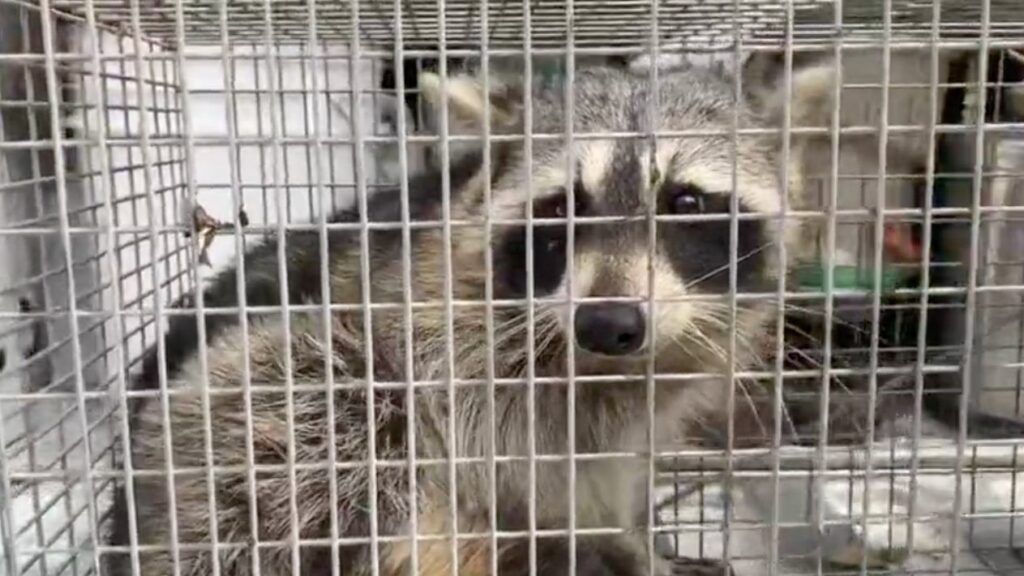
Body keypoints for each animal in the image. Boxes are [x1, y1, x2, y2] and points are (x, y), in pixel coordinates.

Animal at [105, 59, 835, 576]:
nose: (608, 322)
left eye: (686, 202)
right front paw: (573, 544)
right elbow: (488, 469)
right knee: (330, 405)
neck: (602, 369)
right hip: (211, 421)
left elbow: (612, 474)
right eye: (559, 211)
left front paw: (633, 544)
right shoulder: (444, 341)